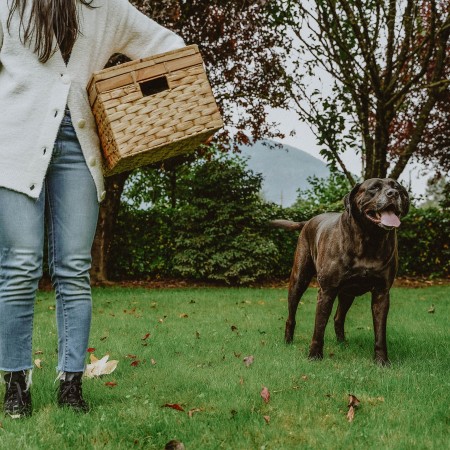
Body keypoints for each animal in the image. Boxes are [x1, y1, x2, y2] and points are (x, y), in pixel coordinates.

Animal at [272, 178, 410, 364]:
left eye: (397, 187)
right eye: (374, 188)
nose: (393, 194)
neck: (370, 239)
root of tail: (307, 221)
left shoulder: (381, 293)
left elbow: (380, 332)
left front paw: (382, 361)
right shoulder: (327, 291)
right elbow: (319, 327)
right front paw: (314, 356)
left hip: (348, 293)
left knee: (338, 317)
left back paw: (342, 342)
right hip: (298, 280)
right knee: (291, 315)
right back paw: (288, 340)